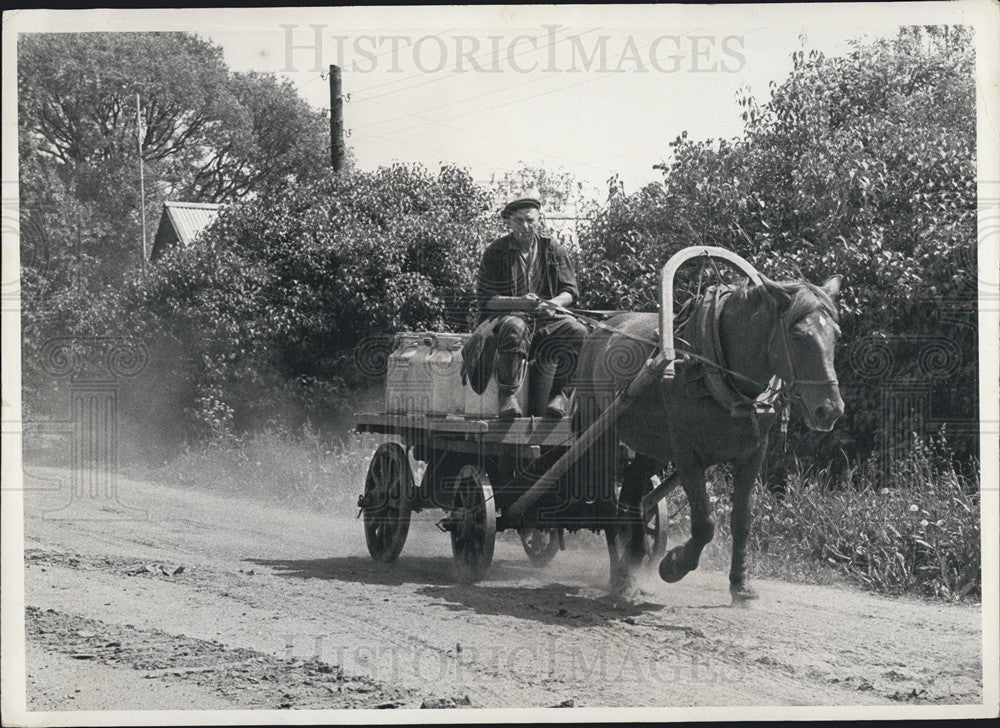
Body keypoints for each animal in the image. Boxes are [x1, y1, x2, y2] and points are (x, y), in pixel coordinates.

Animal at [572, 272, 844, 604]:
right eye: (797, 335)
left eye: (836, 335)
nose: (830, 410)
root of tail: (600, 328)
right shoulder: (687, 454)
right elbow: (704, 524)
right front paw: (673, 565)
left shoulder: (753, 453)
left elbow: (742, 520)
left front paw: (740, 585)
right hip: (600, 434)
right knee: (607, 505)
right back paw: (621, 577)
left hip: (651, 446)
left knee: (633, 496)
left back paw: (633, 562)